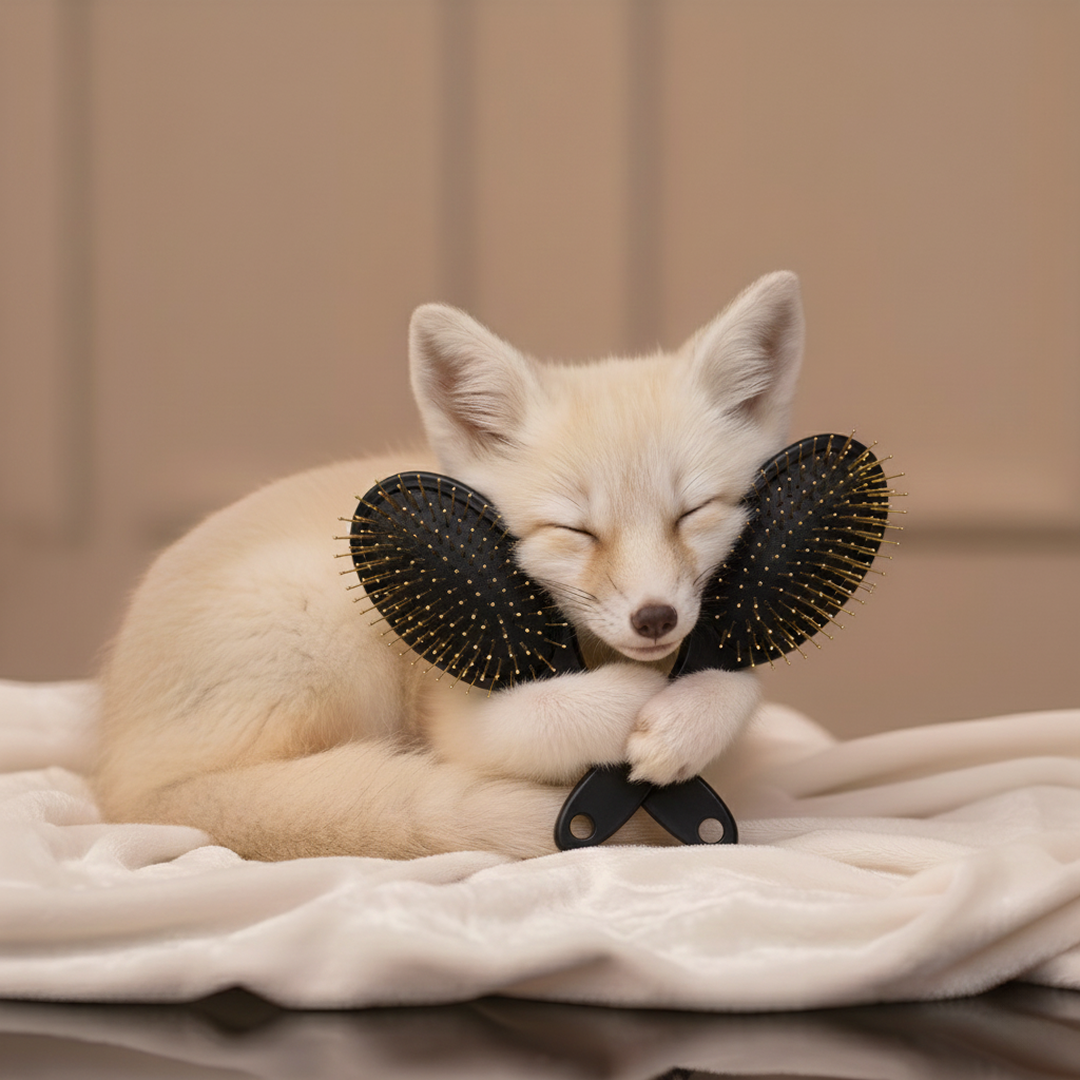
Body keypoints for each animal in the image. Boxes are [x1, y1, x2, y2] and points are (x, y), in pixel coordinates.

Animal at [93, 271, 804, 861]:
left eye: (693, 512)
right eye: (574, 529)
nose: (654, 619)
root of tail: (121, 790)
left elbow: (735, 687)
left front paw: (686, 716)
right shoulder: (458, 713)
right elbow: (548, 715)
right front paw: (634, 698)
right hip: (330, 626)